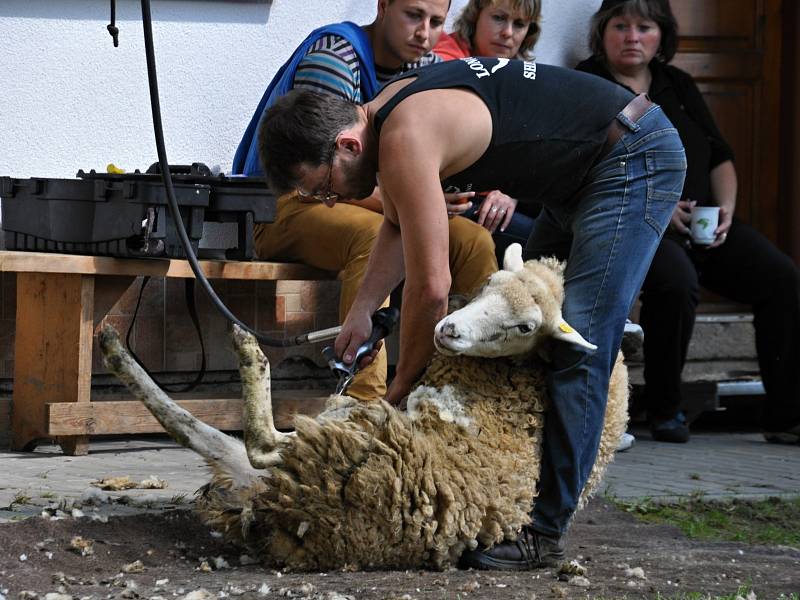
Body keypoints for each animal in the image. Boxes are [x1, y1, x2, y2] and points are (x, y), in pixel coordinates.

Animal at [98, 241, 624, 568]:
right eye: (490, 281)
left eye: (525, 326)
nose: (448, 330)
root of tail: (301, 512)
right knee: (210, 436)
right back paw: (114, 348)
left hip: (354, 428)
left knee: (259, 442)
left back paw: (244, 348)